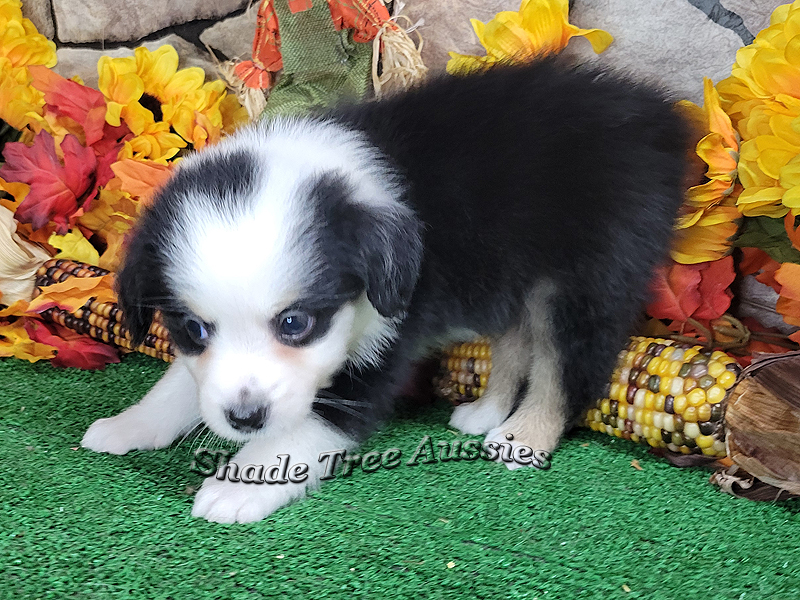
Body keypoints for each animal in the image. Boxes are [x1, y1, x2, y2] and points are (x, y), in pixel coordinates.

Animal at [84, 58, 692, 524]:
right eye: (193, 329)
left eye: (295, 323)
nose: (245, 418)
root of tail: (659, 121)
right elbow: (180, 384)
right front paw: (130, 425)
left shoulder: (389, 328)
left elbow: (314, 422)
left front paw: (241, 483)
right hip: (509, 273)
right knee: (517, 337)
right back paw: (486, 412)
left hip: (584, 276)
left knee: (567, 366)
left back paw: (524, 437)